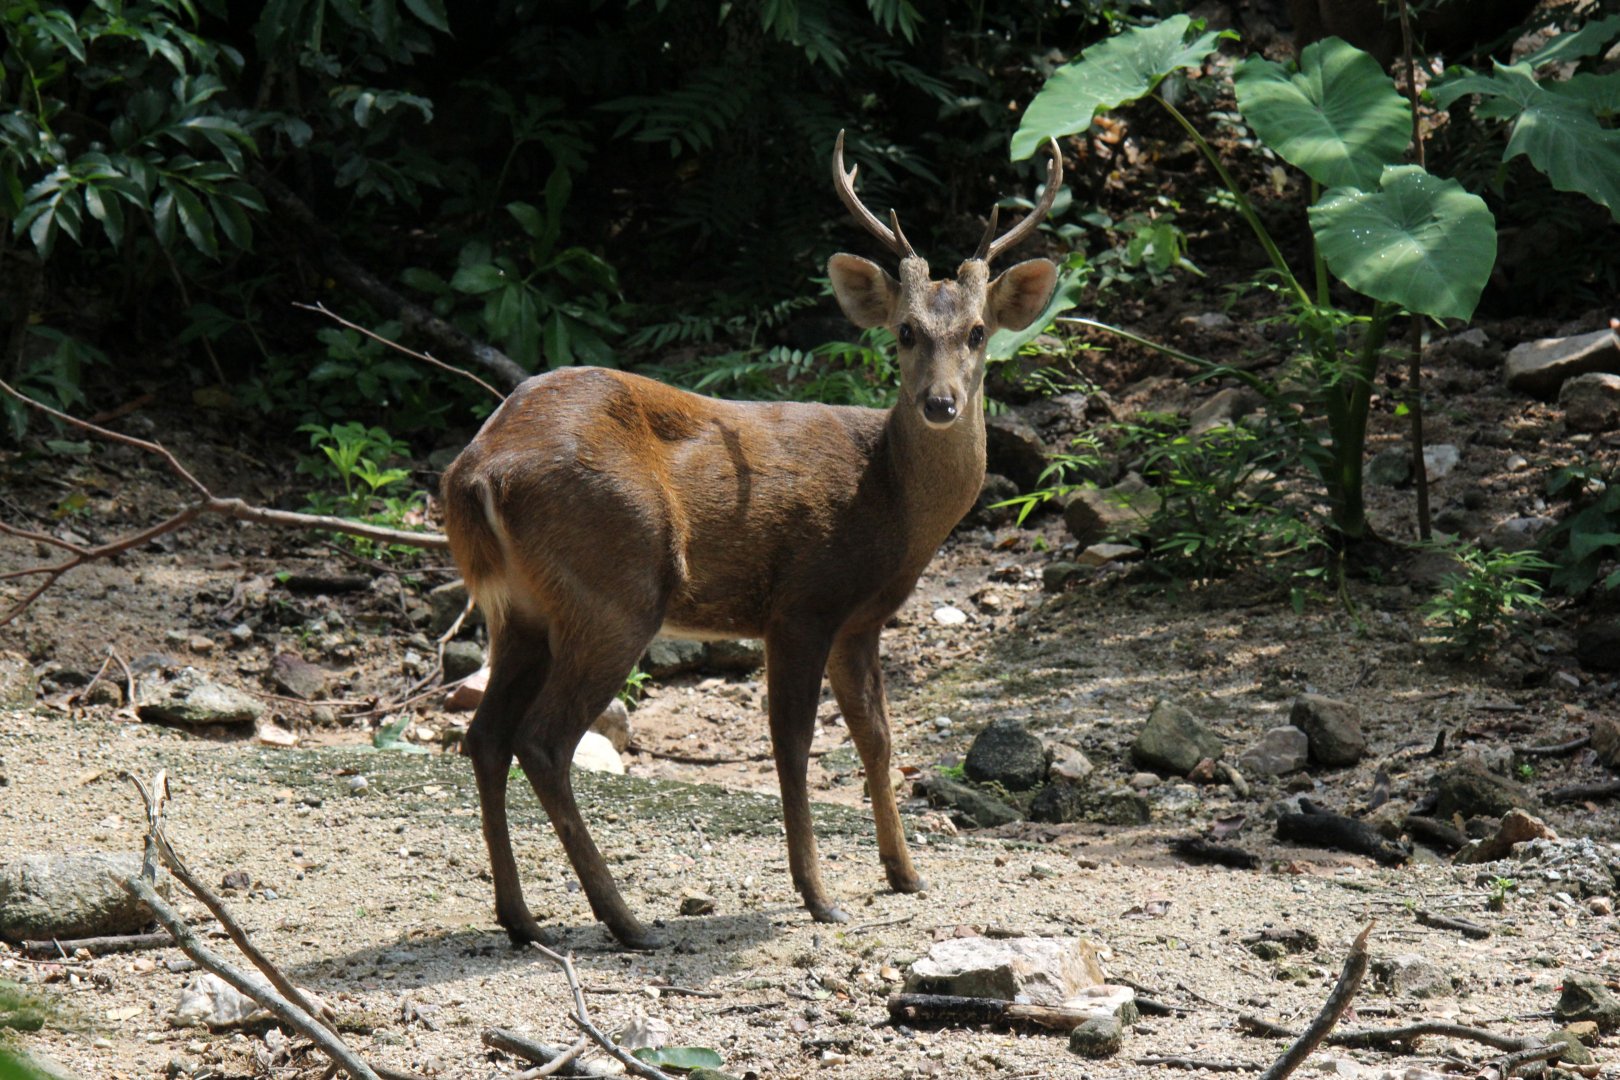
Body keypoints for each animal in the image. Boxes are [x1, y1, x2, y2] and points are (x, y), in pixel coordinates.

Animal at [440, 131, 1062, 949]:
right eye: (905, 331)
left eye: (978, 332)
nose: (940, 402)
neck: (890, 500)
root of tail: (480, 470)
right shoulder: (803, 601)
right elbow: (793, 743)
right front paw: (818, 896)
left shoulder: (860, 620)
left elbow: (877, 737)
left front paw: (904, 873)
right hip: (614, 585)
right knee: (543, 739)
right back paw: (626, 921)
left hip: (522, 609)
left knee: (484, 736)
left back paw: (521, 919)